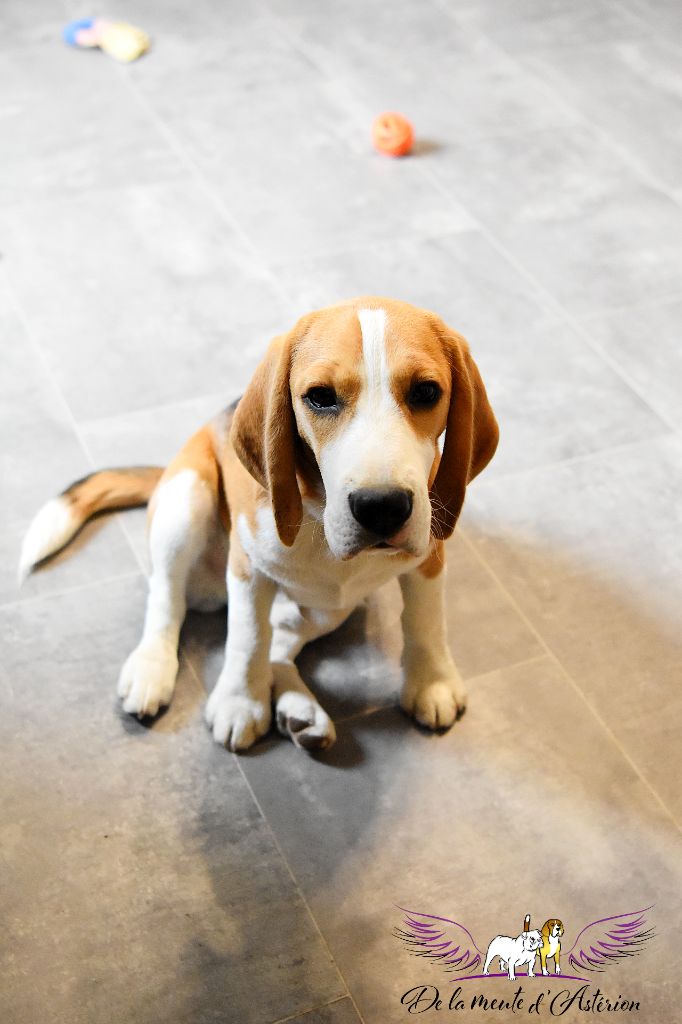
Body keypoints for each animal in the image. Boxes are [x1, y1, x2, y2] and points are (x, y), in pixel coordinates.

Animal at [17, 296, 493, 753]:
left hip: (331, 607)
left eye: (426, 392)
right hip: (185, 500)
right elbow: (248, 639)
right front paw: (240, 702)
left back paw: (301, 713)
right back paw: (153, 669)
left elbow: (425, 619)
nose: (382, 507)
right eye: (320, 396)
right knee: (167, 599)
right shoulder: (248, 569)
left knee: (279, 644)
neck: (318, 518)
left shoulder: (430, 555)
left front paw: (432, 682)